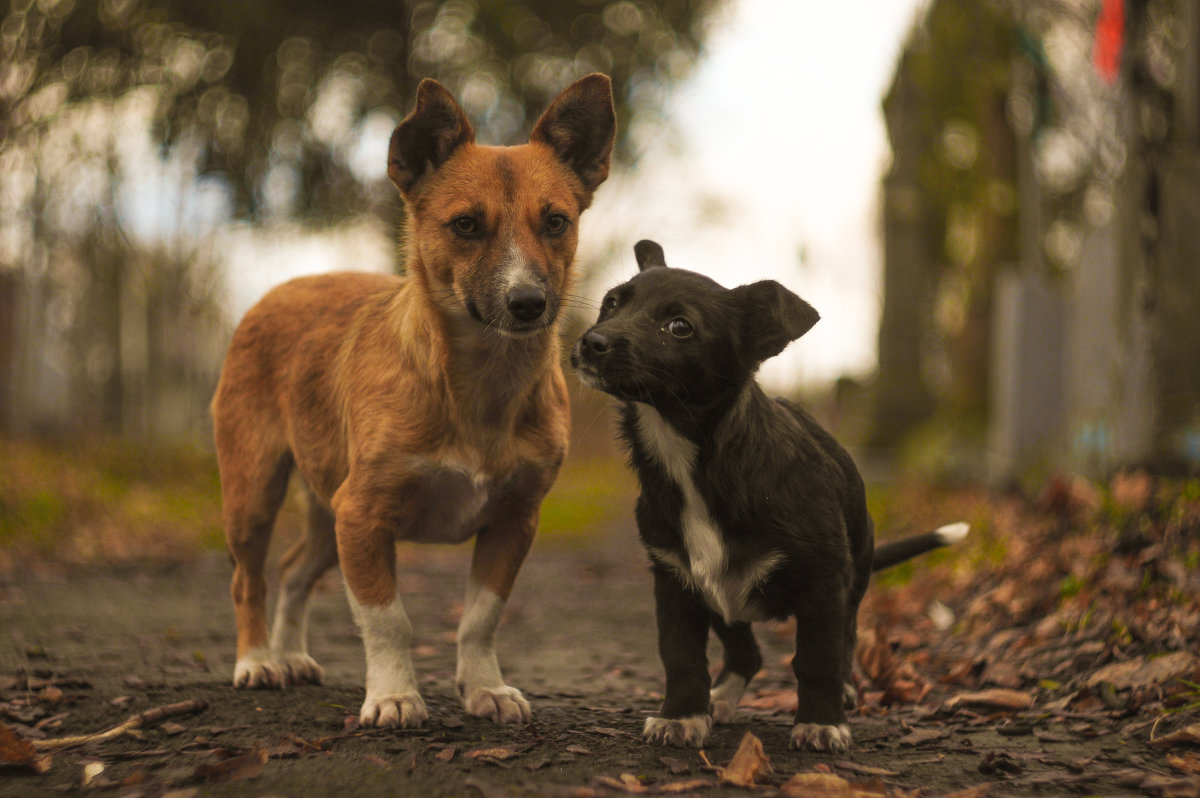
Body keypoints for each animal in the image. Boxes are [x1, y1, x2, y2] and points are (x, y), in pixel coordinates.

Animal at [207, 76, 614, 729]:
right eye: (466, 225)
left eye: (556, 222)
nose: (528, 303)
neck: (481, 386)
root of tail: (283, 287)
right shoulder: (365, 515)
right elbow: (388, 621)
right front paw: (395, 695)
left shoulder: (511, 522)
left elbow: (480, 618)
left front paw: (484, 688)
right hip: (255, 492)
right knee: (249, 579)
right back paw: (257, 661)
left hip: (327, 513)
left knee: (294, 572)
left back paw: (290, 654)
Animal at [568, 240, 964, 748]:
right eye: (613, 303)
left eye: (679, 327)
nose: (591, 342)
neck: (692, 460)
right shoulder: (675, 579)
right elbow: (680, 656)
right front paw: (682, 716)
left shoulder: (823, 583)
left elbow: (817, 659)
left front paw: (821, 721)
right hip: (719, 595)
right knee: (747, 654)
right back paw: (721, 699)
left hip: (852, 577)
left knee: (846, 638)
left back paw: (844, 692)